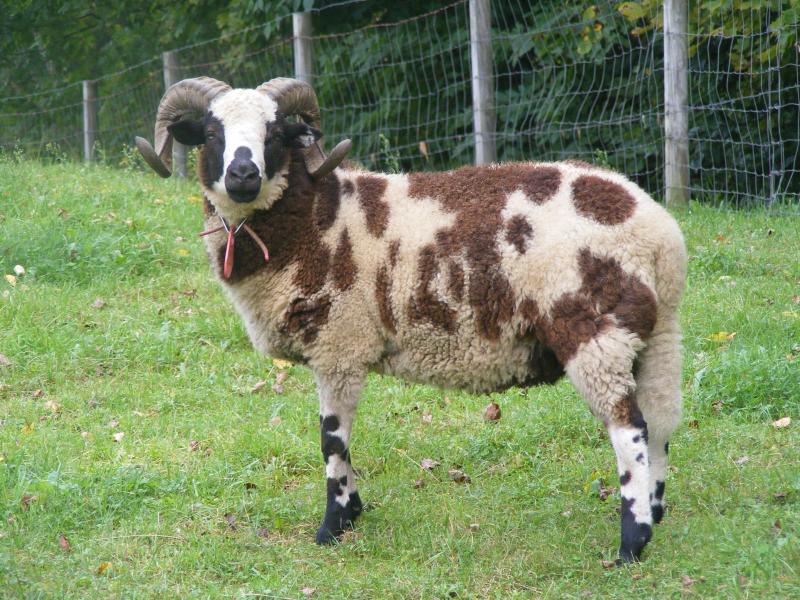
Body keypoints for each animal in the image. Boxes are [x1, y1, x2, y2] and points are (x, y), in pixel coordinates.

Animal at [135, 76, 687, 563]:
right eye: (212, 134)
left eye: (273, 135)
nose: (243, 176)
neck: (313, 217)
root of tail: (659, 234)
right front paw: (353, 512)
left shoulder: (339, 345)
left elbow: (331, 439)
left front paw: (334, 526)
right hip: (656, 334)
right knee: (660, 421)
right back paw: (656, 512)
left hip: (593, 332)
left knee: (629, 430)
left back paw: (632, 543)